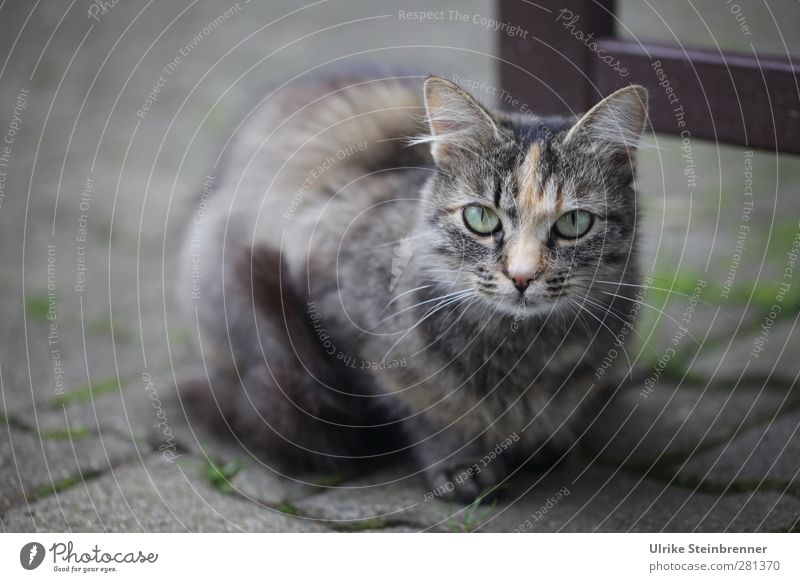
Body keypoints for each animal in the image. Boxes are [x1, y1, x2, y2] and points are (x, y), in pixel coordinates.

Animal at [178, 69, 648, 502]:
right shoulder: (351, 331)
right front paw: (459, 463)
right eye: (480, 218)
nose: (521, 275)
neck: (522, 349)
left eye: (574, 222)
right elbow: (427, 412)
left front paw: (544, 442)